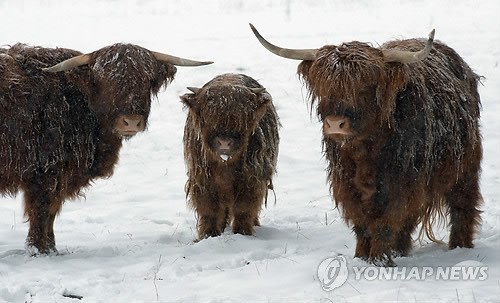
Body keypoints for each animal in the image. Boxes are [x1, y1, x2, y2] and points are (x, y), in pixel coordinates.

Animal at [0, 42, 211, 255]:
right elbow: (42, 212)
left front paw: (51, 248)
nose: (131, 122)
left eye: (146, 80)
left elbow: (50, 213)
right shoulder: (46, 172)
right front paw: (39, 250)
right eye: (108, 81)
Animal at [181, 73, 282, 240]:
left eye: (241, 118)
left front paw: (243, 234)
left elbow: (243, 209)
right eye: (208, 117)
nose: (224, 142)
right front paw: (209, 235)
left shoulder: (251, 180)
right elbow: (209, 209)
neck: (225, 166)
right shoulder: (202, 180)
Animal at [252, 23, 482, 268]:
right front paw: (361, 257)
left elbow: (385, 222)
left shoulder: (400, 184)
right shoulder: (346, 184)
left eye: (364, 88)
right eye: (324, 87)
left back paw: (460, 247)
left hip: (464, 166)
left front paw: (379, 261)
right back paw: (401, 250)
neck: (364, 151)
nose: (335, 123)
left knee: (462, 205)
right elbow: (362, 223)